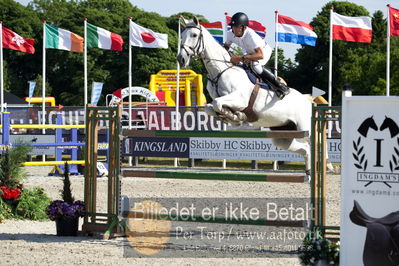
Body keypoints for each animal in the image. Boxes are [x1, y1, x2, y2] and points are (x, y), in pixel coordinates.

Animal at [178, 17, 318, 174]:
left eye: (194, 35)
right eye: (182, 35)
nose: (181, 59)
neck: (220, 71)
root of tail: (308, 100)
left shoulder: (241, 99)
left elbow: (217, 103)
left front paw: (235, 116)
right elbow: (210, 107)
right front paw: (233, 116)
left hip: (304, 128)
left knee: (313, 147)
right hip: (283, 135)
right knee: (305, 149)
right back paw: (308, 172)